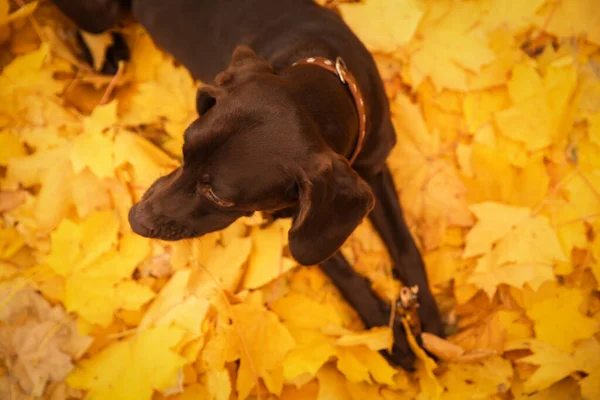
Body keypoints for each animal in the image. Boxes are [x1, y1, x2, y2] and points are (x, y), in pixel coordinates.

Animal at [52, 0, 446, 370]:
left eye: (219, 196)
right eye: (184, 149)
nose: (135, 219)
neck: (324, 86)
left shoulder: (371, 171)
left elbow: (407, 248)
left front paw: (430, 325)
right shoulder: (294, 215)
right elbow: (342, 271)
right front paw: (387, 332)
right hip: (99, 15)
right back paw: (107, 54)